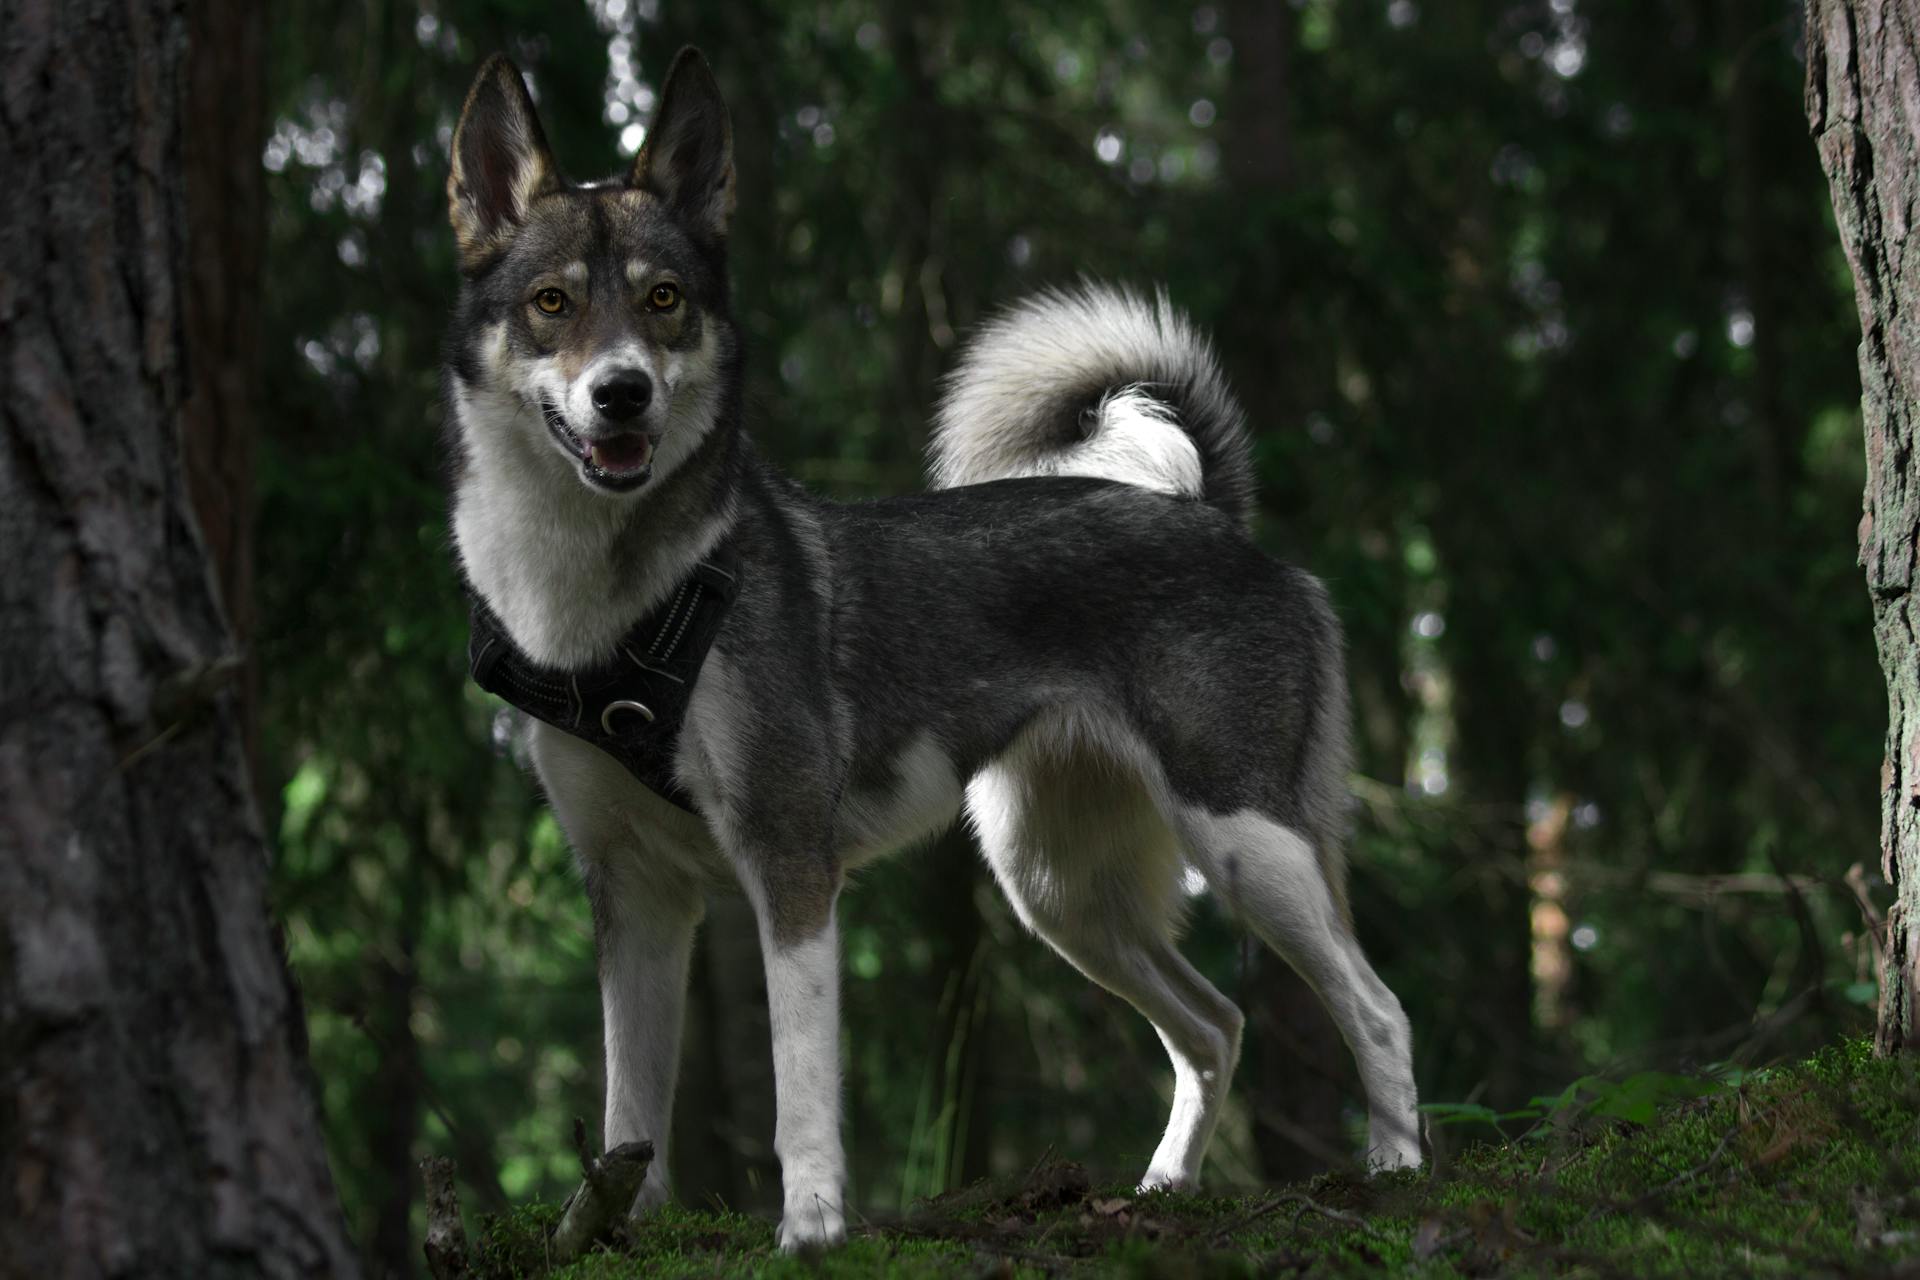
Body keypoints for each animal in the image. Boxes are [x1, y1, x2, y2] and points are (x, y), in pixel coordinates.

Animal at [441, 47, 1420, 1251]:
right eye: (553, 303)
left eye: (664, 299)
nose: (620, 394)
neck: (622, 602)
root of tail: (1216, 519)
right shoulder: (634, 897)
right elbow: (632, 1107)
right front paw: (612, 1230)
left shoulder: (790, 865)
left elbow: (800, 1086)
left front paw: (812, 1229)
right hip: (1058, 887)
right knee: (1216, 1024)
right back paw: (1163, 1186)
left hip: (1245, 837)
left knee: (1376, 1009)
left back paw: (1397, 1171)